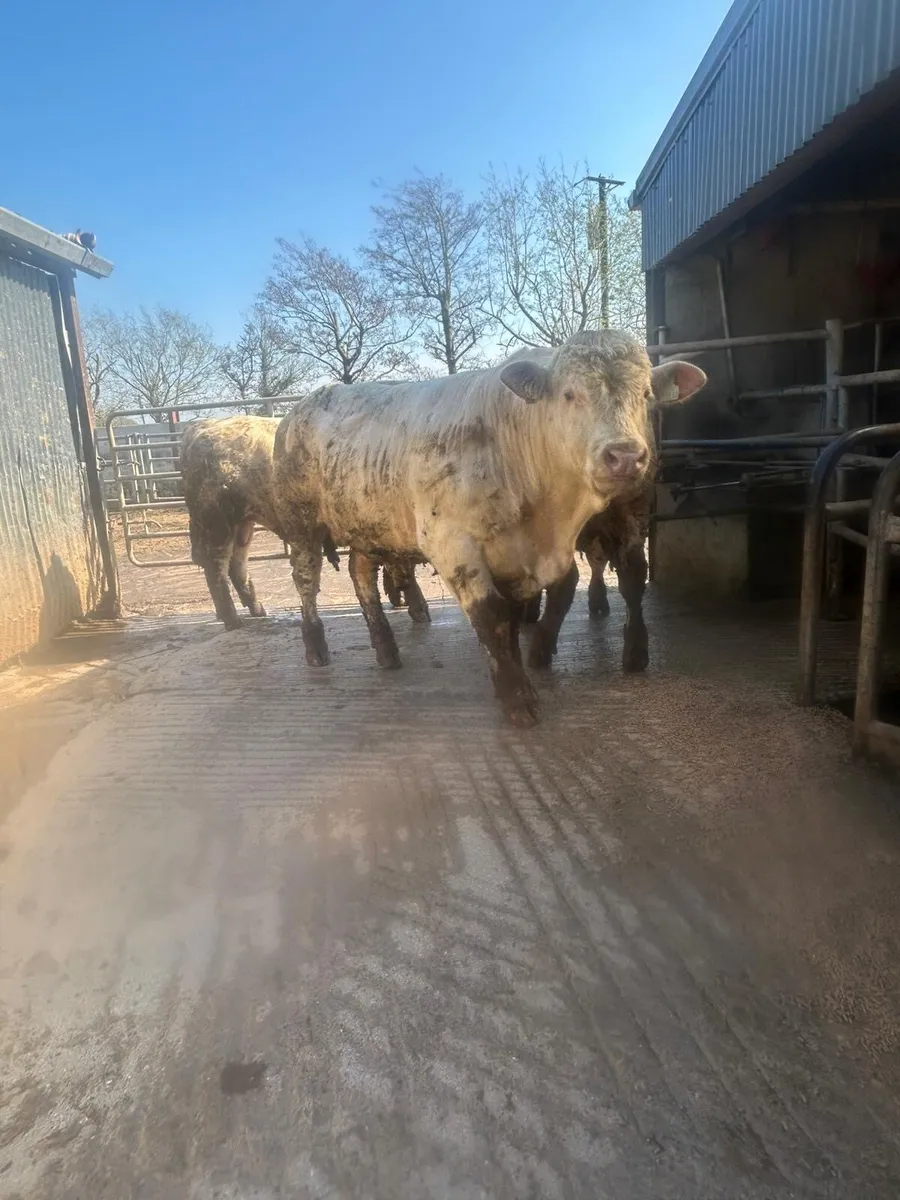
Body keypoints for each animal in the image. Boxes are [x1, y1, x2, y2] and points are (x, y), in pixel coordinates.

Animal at [180, 415, 430, 630]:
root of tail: (202, 427)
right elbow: (403, 568)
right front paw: (417, 607)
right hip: (217, 522)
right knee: (217, 568)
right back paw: (233, 620)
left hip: (243, 525)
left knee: (236, 566)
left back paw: (256, 609)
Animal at [272, 331, 705, 726]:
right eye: (569, 395)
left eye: (646, 394)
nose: (626, 456)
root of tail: (301, 406)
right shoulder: (453, 543)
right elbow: (491, 616)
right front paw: (517, 696)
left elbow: (521, 614)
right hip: (300, 521)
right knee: (306, 581)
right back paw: (316, 647)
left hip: (370, 525)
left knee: (361, 575)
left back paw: (386, 649)